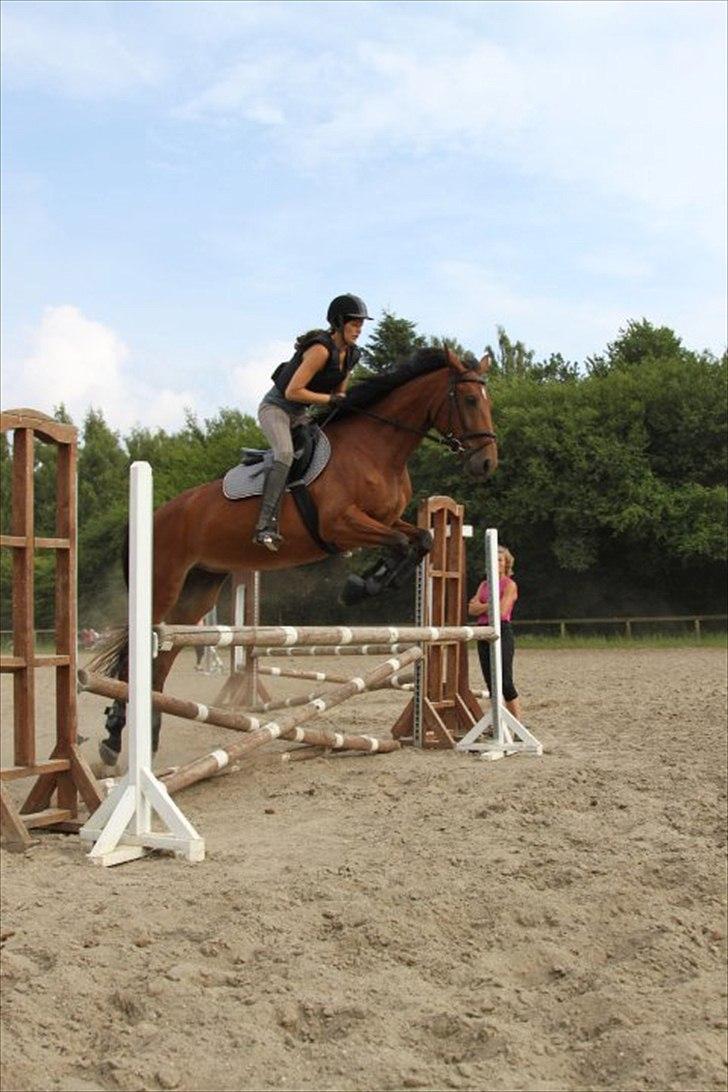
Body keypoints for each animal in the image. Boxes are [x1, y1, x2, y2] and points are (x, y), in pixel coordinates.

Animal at [93, 345, 497, 764]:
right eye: (470, 399)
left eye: (488, 401)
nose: (486, 462)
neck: (377, 449)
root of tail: (154, 515)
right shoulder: (340, 525)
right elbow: (401, 544)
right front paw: (358, 587)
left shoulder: (385, 520)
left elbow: (421, 540)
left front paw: (365, 583)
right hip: (163, 585)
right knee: (137, 656)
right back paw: (113, 738)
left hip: (197, 592)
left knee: (162, 657)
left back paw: (149, 735)